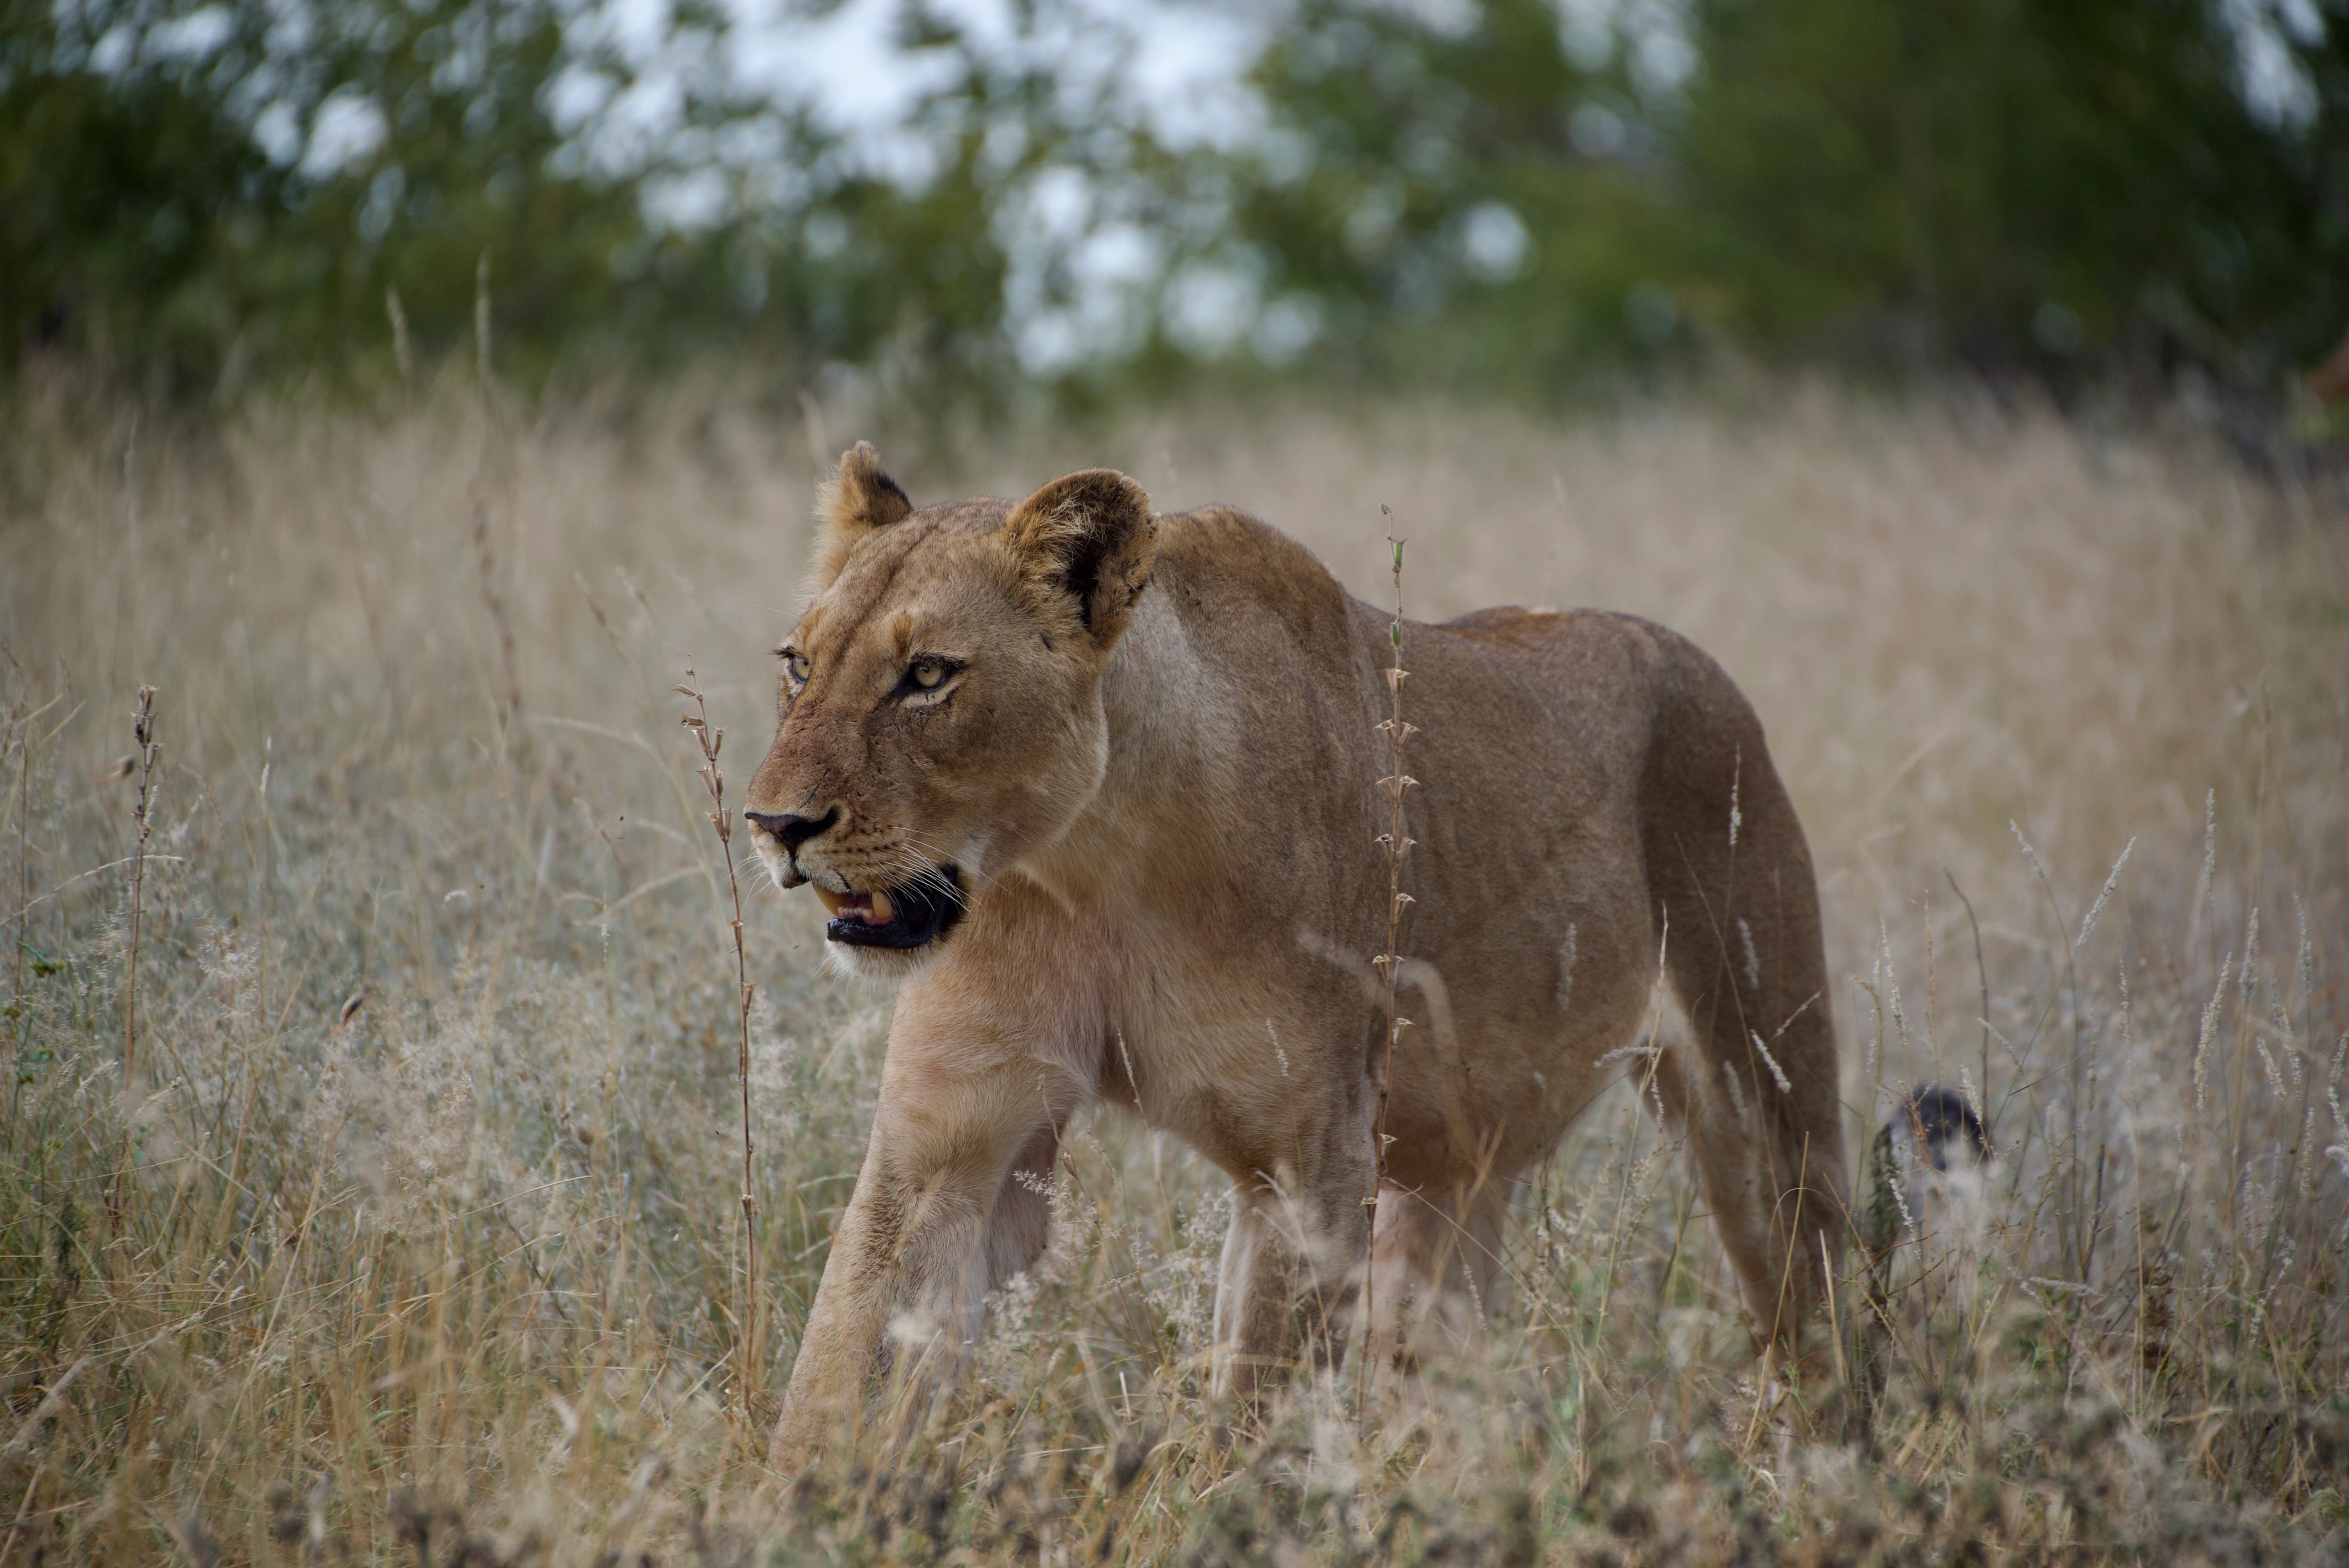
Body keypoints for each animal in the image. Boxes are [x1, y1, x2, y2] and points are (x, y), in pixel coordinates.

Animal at [745, 443, 1850, 1469]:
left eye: (928, 675)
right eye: (797, 664)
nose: (773, 825)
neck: (1092, 865)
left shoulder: (1304, 1163)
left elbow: (1253, 1421)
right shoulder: (945, 1144)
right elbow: (839, 1380)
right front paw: (798, 1513)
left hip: (1760, 1098)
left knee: (1822, 1305)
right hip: (1445, 1183)